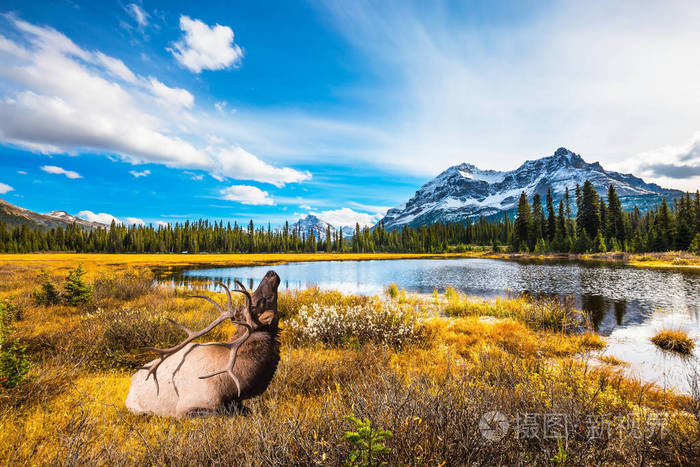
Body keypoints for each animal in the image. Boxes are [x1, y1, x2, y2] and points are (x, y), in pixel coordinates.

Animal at [126, 268, 282, 418]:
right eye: (261, 301)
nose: (270, 273)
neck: (233, 387)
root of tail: (131, 382)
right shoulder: (186, 408)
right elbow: (222, 414)